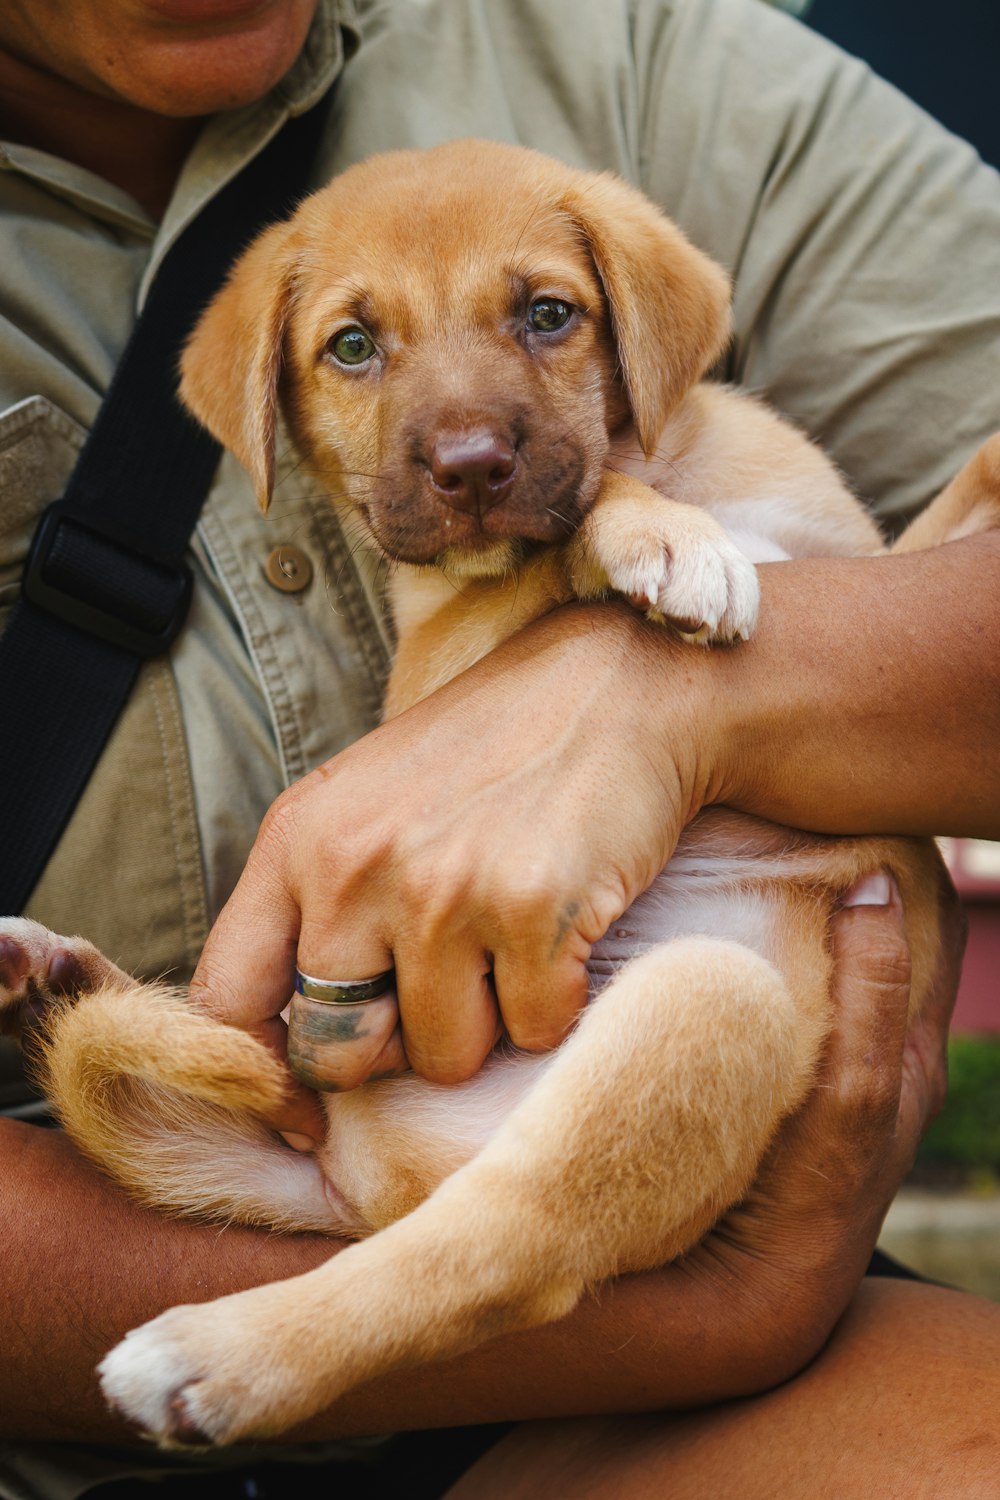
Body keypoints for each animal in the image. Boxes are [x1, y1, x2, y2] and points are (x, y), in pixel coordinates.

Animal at [3, 143, 995, 1452]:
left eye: (548, 316)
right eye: (352, 345)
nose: (471, 469)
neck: (676, 457)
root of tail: (349, 1176)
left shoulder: (871, 562)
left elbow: (971, 472)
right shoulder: (444, 660)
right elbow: (564, 532)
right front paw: (664, 544)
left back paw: (54, 982)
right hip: (710, 1005)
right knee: (494, 1252)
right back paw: (209, 1354)